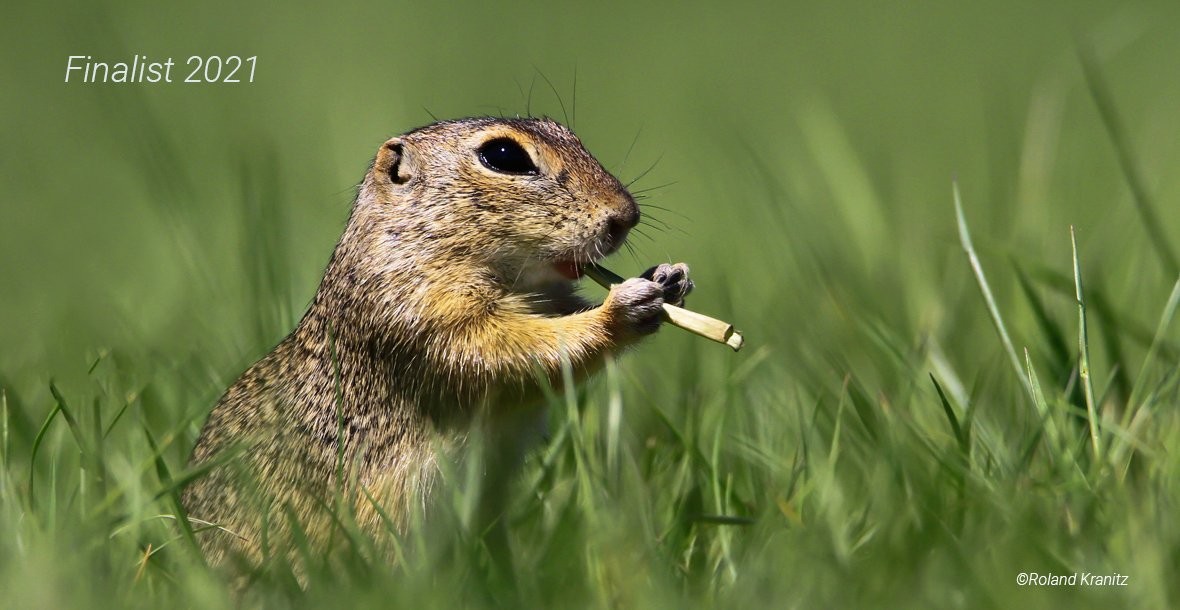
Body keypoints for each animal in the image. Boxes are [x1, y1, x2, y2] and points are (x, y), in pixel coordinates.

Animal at [182, 117, 689, 566]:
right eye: (503, 156)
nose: (626, 216)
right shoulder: (424, 317)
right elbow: (510, 352)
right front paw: (624, 307)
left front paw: (669, 278)